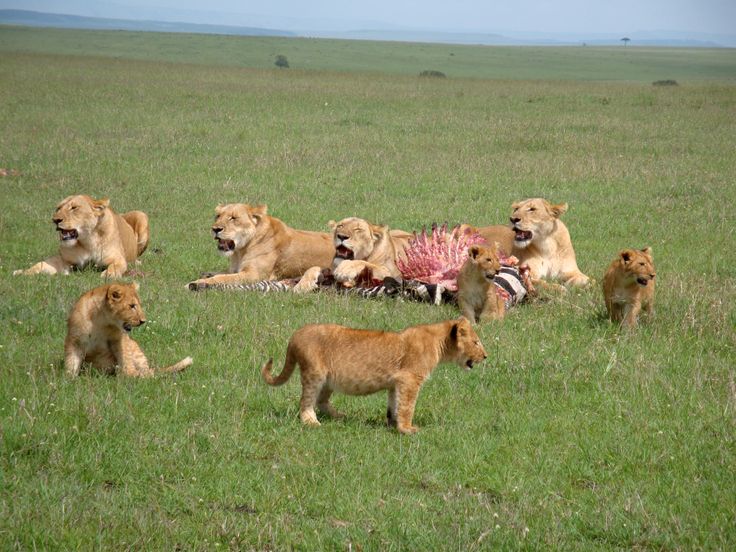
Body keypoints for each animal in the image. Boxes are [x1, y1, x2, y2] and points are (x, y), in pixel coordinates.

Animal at [14, 195, 149, 278]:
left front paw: (108, 275)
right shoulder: (64, 260)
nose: (55, 220)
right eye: (58, 208)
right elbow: (40, 264)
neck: (87, 241)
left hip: (141, 215)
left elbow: (115, 266)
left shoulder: (117, 259)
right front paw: (23, 272)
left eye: (74, 208)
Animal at [64, 282, 193, 377]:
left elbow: (124, 356)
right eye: (132, 306)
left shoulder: (119, 339)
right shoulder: (75, 340)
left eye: (138, 305)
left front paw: (129, 376)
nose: (143, 321)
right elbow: (71, 360)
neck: (100, 321)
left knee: (147, 370)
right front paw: (68, 379)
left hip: (135, 349)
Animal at [187, 203, 334, 290]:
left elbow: (222, 278)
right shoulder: (235, 269)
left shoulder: (254, 275)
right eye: (218, 216)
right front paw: (205, 275)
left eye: (233, 218)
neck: (240, 251)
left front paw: (196, 283)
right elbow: (221, 273)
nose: (215, 229)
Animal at [261, 317, 487, 434]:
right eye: (476, 342)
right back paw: (311, 421)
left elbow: (395, 405)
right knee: (306, 401)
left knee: (321, 400)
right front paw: (407, 429)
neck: (439, 341)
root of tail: (295, 336)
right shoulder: (410, 379)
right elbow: (408, 406)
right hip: (314, 373)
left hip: (328, 380)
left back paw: (338, 416)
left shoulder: (396, 382)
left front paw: (393, 423)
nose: (486, 356)